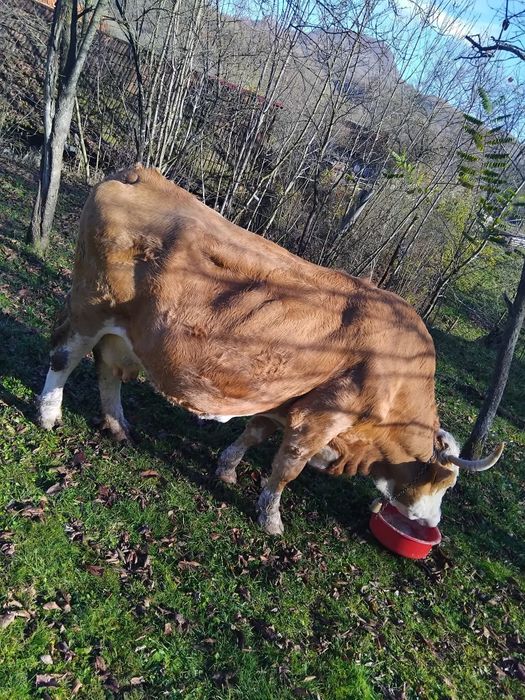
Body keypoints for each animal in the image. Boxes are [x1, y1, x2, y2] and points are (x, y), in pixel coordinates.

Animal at [38, 164, 503, 535]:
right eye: (444, 484)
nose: (432, 522)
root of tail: (142, 174)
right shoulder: (321, 418)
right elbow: (285, 469)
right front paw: (271, 519)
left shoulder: (283, 398)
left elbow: (253, 432)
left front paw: (226, 468)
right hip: (91, 306)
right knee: (63, 355)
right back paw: (48, 414)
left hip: (122, 331)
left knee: (108, 370)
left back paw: (118, 425)